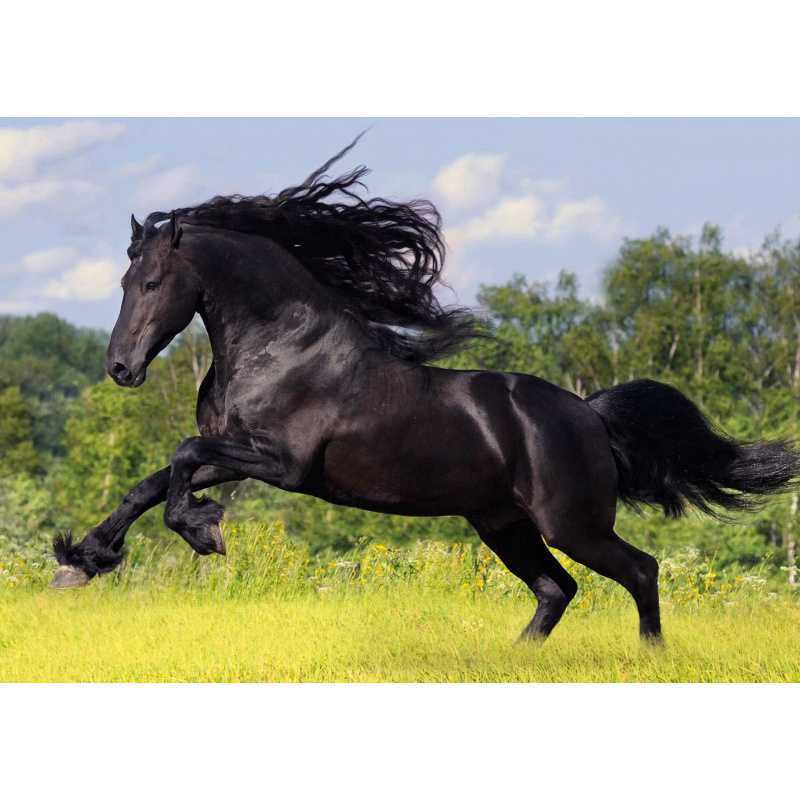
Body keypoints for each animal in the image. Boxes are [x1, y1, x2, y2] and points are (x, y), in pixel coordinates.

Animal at [51, 137, 800, 643]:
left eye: (152, 282)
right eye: (123, 281)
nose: (121, 368)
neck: (282, 346)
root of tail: (588, 414)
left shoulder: (279, 463)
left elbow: (178, 457)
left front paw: (202, 533)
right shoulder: (236, 453)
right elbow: (150, 482)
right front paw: (81, 561)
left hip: (572, 522)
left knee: (639, 571)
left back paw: (649, 655)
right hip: (503, 524)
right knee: (557, 589)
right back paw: (515, 657)